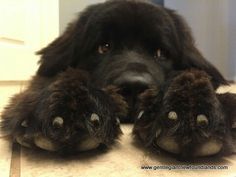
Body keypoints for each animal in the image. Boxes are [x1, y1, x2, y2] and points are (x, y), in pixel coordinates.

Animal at [1, 0, 236, 160]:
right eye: (103, 47)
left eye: (161, 53)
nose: (133, 87)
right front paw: (63, 110)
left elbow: (194, 76)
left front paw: (193, 110)